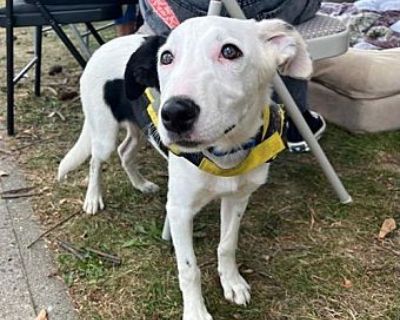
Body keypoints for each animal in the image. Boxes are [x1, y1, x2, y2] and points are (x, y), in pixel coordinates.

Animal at [58, 16, 312, 320]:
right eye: (166, 57)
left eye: (230, 51)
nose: (174, 114)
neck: (223, 154)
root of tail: (102, 47)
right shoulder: (179, 212)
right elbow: (189, 269)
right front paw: (195, 312)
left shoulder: (238, 198)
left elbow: (227, 245)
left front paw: (232, 282)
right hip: (104, 132)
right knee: (97, 160)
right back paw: (93, 198)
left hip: (140, 127)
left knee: (125, 151)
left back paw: (140, 184)